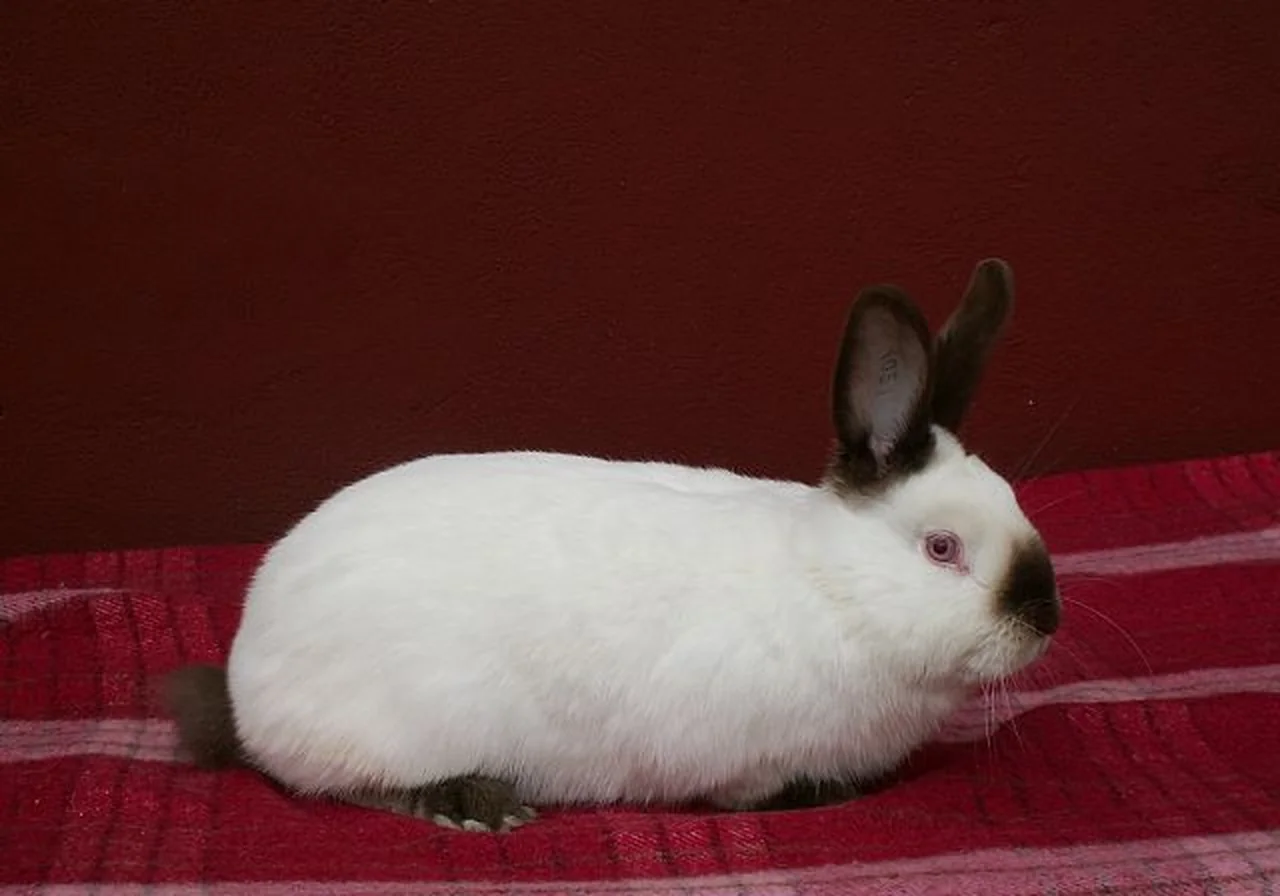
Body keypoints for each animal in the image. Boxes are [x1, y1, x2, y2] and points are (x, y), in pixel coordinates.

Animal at [163, 257, 1059, 834]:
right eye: (942, 548)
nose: (1044, 618)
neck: (834, 587)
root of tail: (246, 684)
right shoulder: (744, 758)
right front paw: (822, 798)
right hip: (393, 730)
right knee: (342, 785)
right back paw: (477, 803)